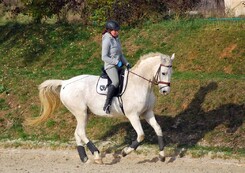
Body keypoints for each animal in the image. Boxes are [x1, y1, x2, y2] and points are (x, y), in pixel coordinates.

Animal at [27, 52, 174, 164]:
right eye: (164, 72)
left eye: (171, 72)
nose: (165, 91)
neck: (140, 84)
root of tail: (65, 83)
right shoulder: (133, 115)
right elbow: (141, 135)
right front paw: (125, 152)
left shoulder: (147, 112)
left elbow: (158, 129)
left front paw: (162, 156)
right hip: (80, 112)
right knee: (81, 132)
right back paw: (97, 155)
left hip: (84, 113)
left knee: (77, 132)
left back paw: (84, 157)